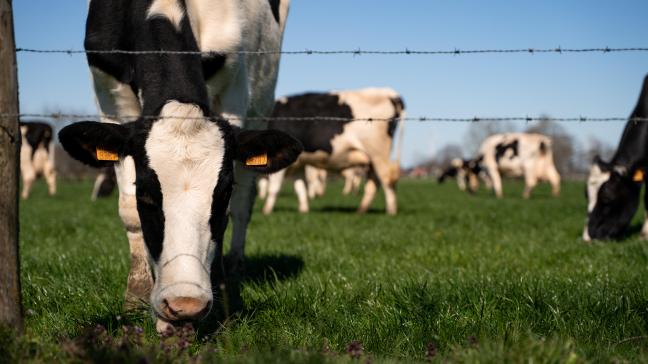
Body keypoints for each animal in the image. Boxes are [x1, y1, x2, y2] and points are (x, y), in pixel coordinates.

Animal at [57, 0, 300, 332]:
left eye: (222, 193)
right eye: (145, 194)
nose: (185, 304)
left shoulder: (234, 87)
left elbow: (231, 211)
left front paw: (221, 297)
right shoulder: (109, 91)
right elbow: (128, 211)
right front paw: (136, 296)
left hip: (262, 100)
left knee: (245, 204)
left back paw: (234, 268)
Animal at [260, 87, 402, 215]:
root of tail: (390, 92)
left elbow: (274, 188)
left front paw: (266, 211)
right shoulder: (298, 164)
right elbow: (300, 187)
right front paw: (304, 210)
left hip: (378, 153)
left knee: (387, 179)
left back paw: (391, 212)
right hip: (370, 160)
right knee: (373, 184)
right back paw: (361, 210)